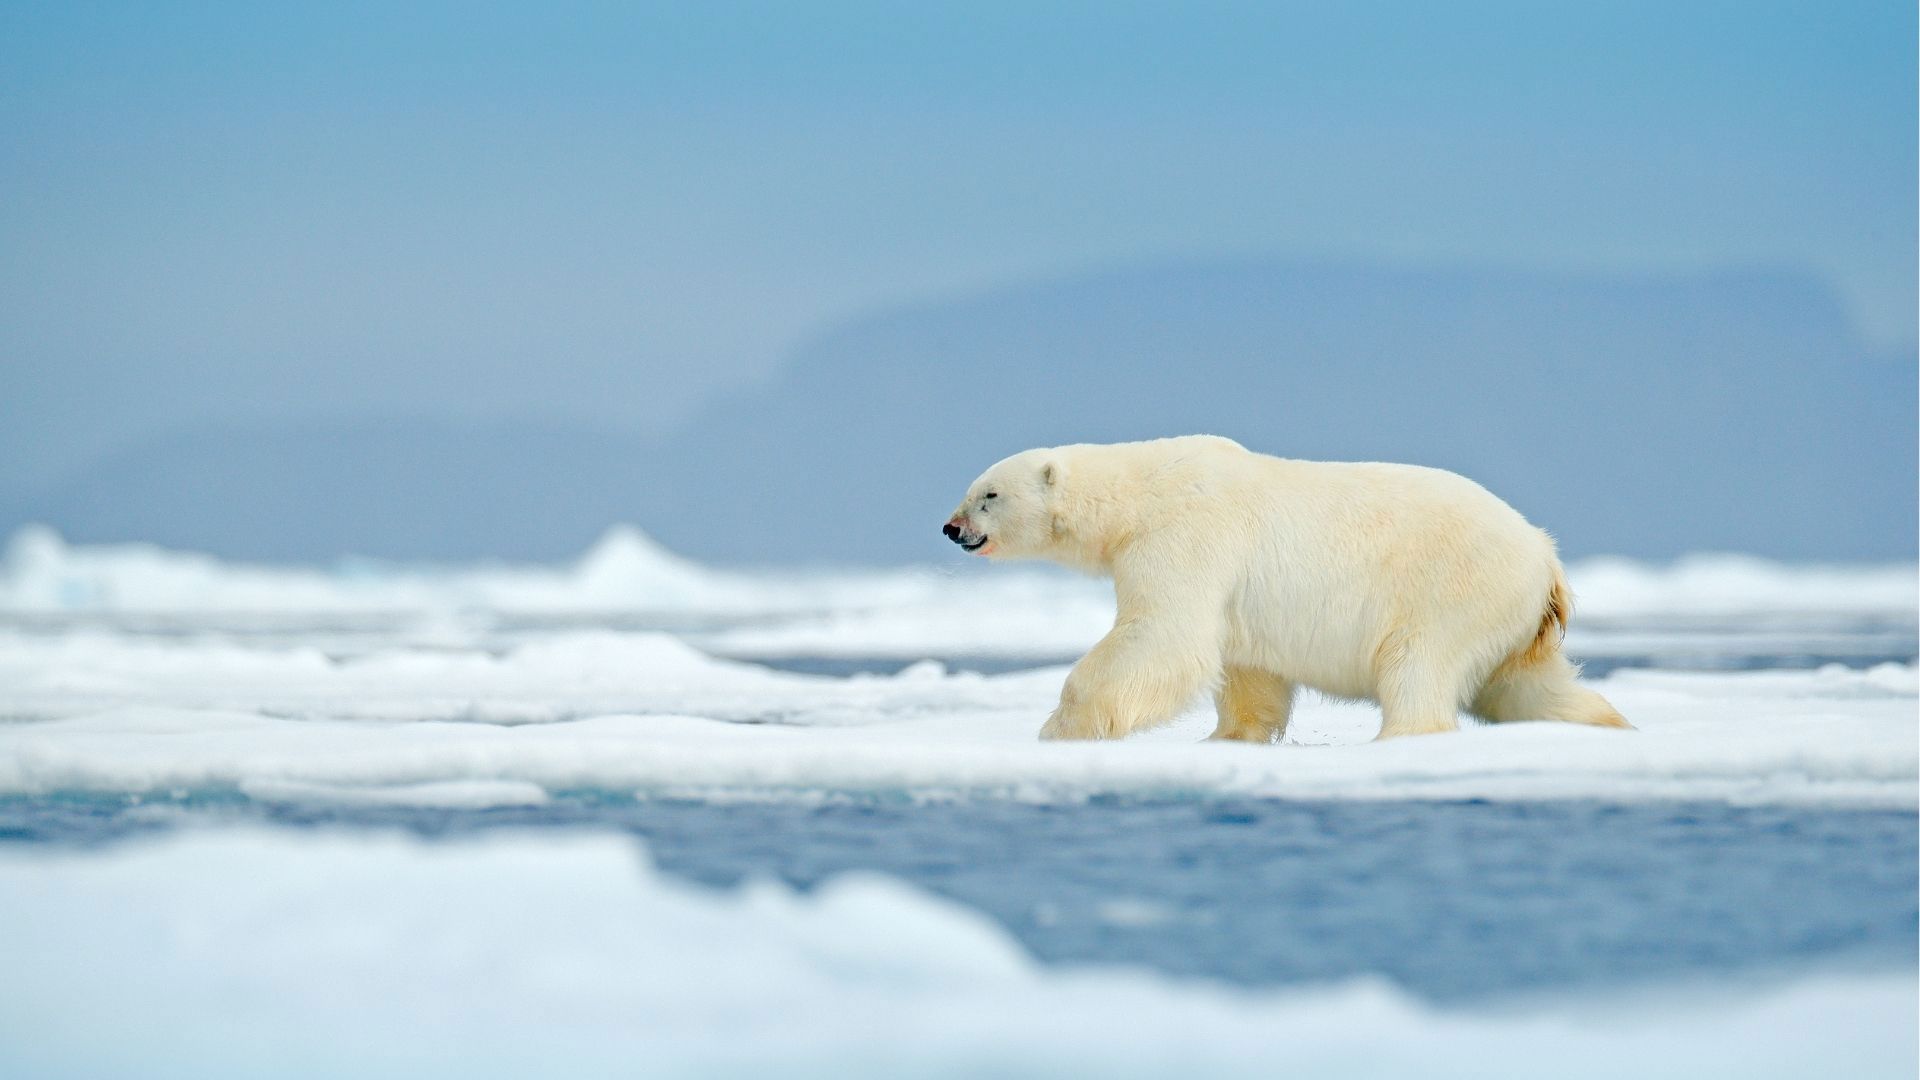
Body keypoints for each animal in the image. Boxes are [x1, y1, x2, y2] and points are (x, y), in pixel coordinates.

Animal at [942, 435, 1629, 742]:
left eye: (988, 494)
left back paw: (1400, 737)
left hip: (1454, 590)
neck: (1139, 490)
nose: (951, 528)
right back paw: (1606, 723)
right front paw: (1229, 738)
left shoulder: (1186, 534)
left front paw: (1060, 729)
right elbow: (1249, 670)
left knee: (1419, 664)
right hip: (1513, 621)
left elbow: (1163, 636)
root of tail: (1546, 557)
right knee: (1528, 685)